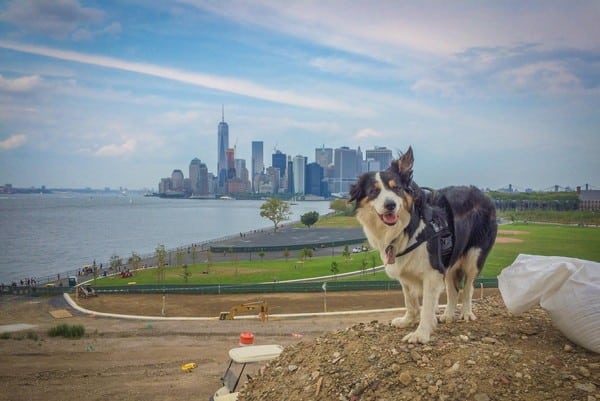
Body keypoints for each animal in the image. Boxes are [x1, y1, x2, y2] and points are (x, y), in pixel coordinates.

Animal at [346, 147, 496, 344]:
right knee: (453, 290)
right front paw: (407, 321)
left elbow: (426, 307)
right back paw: (448, 315)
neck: (408, 227)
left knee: (468, 288)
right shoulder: (409, 269)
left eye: (396, 188)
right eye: (373, 191)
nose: (390, 205)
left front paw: (421, 333)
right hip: (449, 258)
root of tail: (483, 195)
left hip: (473, 257)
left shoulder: (432, 272)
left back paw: (466, 313)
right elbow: (410, 301)